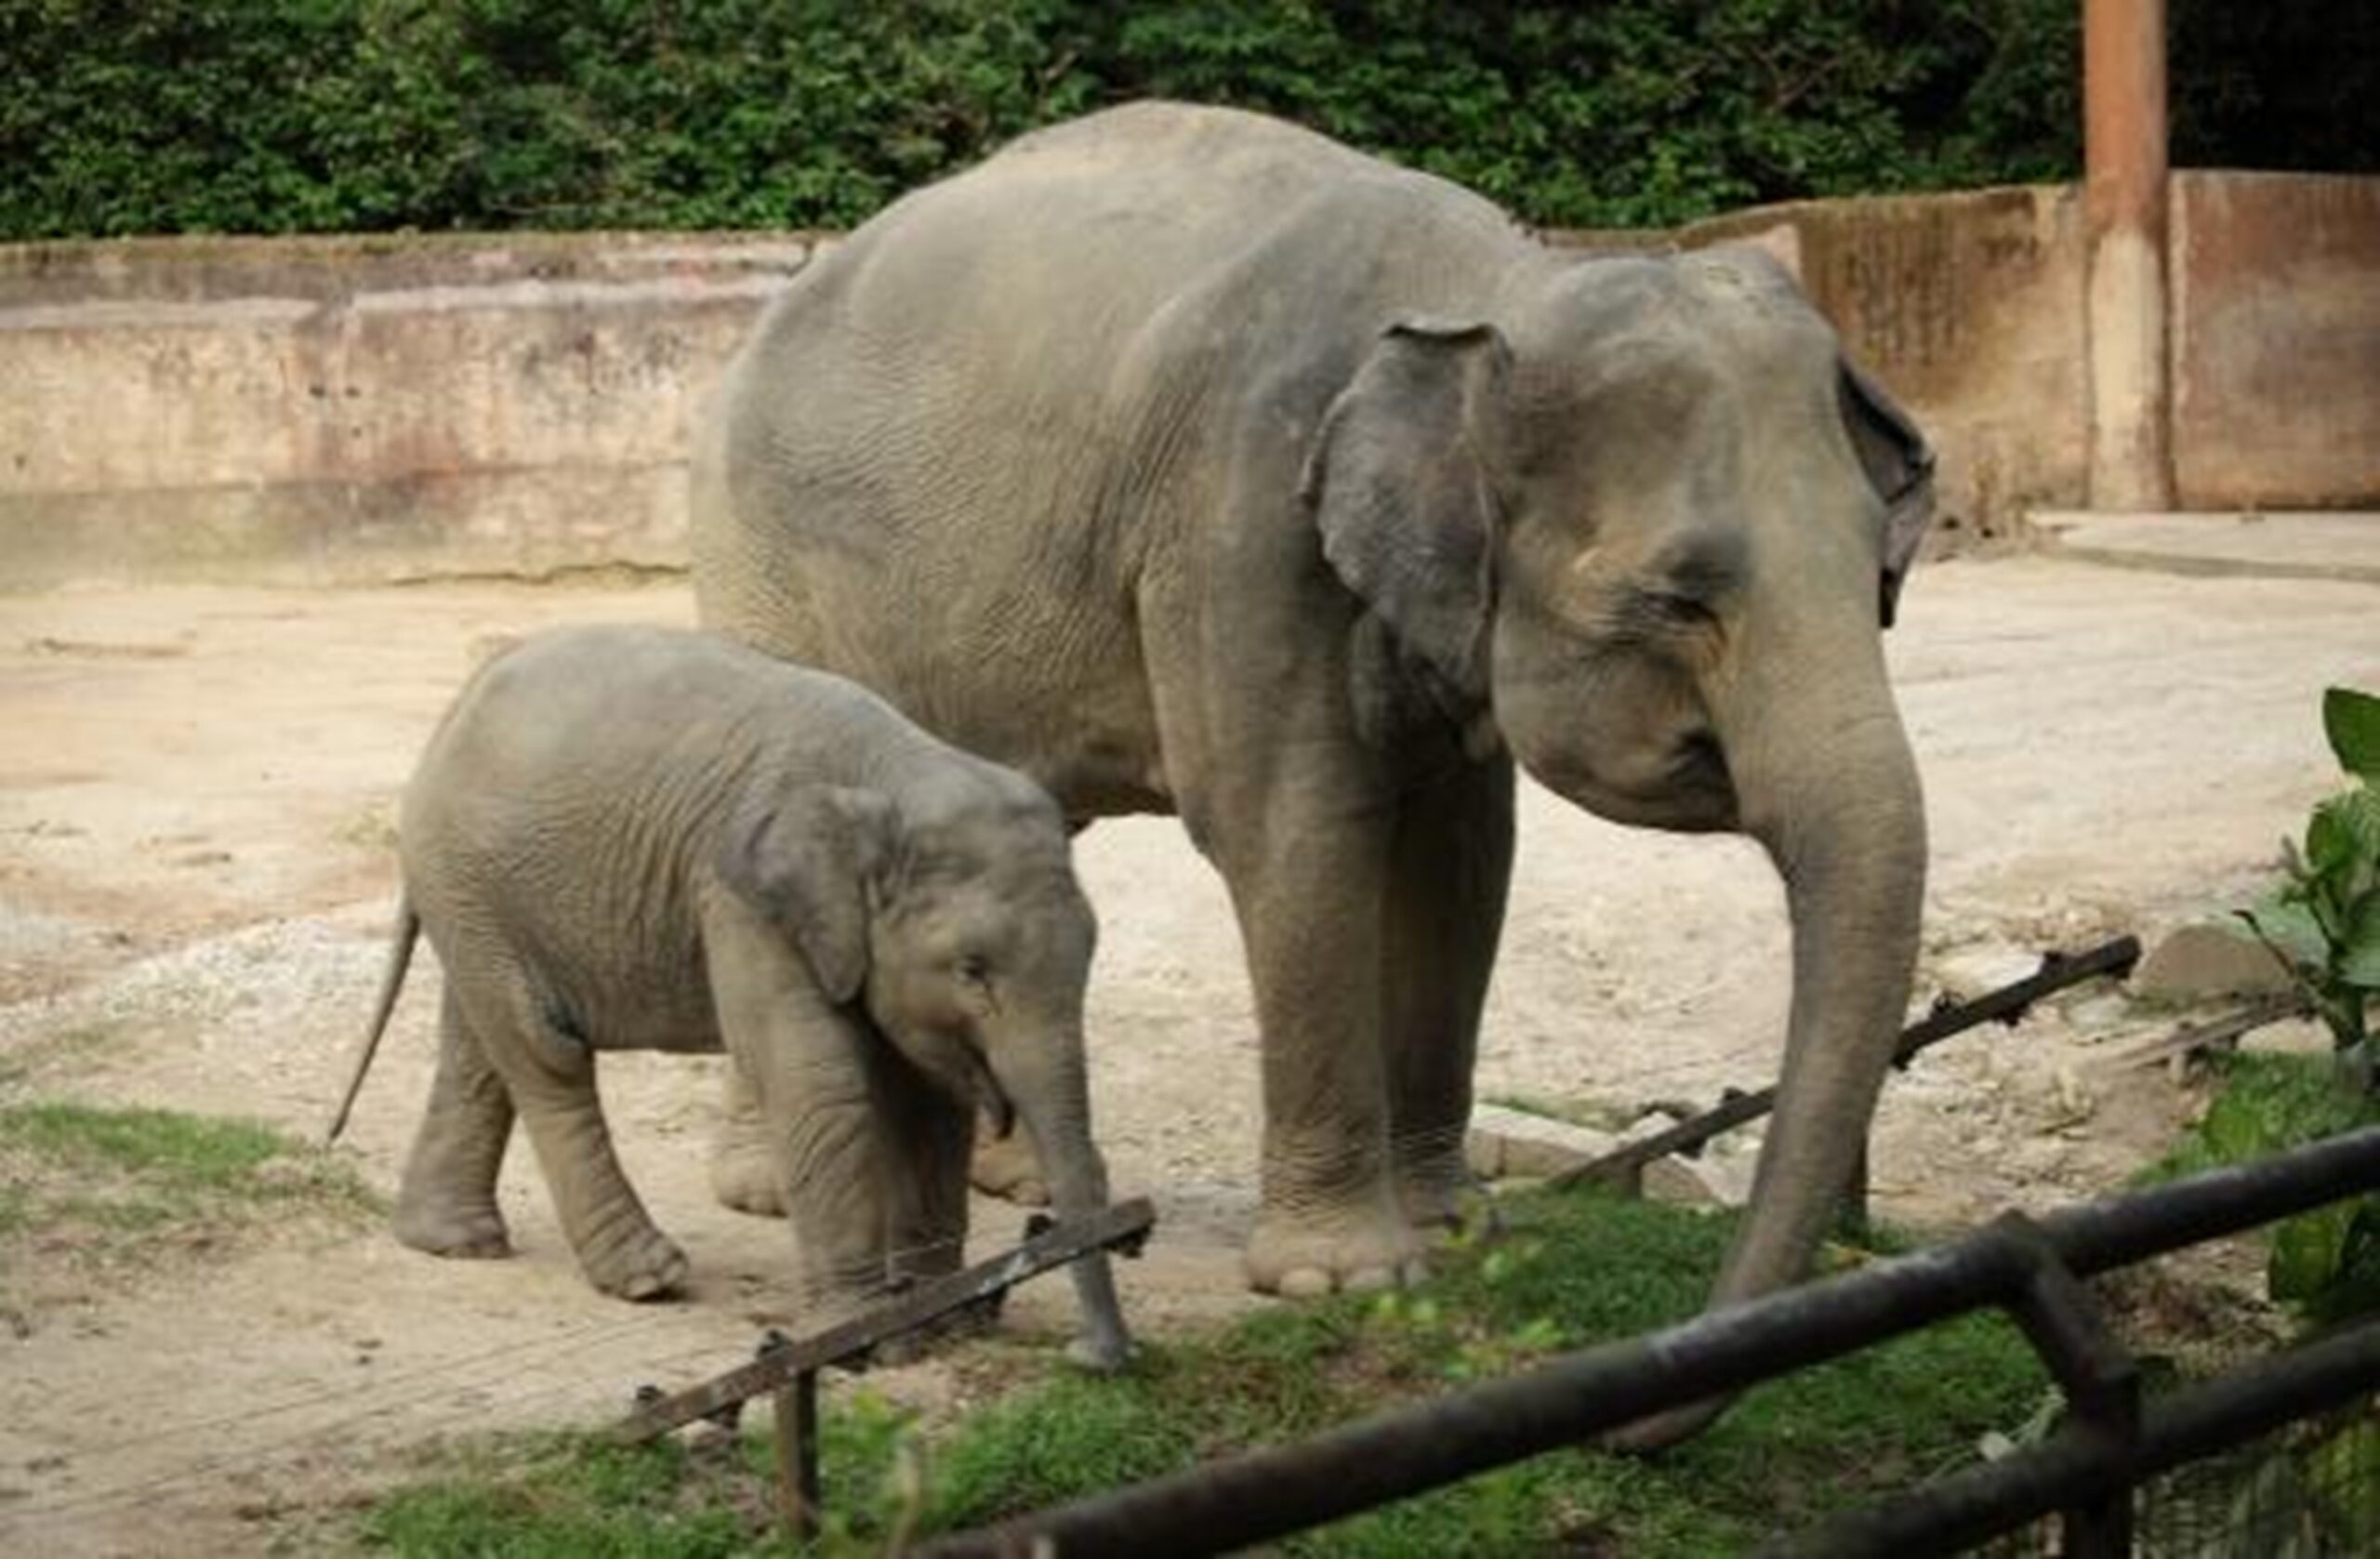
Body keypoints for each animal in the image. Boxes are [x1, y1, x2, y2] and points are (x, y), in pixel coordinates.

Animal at [325, 624, 1133, 1370]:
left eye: (1092, 948)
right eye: (972, 969)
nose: (1093, 1358)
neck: (894, 770)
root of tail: (449, 715)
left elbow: (930, 1101)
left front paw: (935, 1320)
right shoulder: (741, 899)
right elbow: (817, 1080)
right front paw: (862, 1337)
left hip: (478, 892)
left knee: (480, 1045)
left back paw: (454, 1242)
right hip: (466, 873)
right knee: (543, 1049)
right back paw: (647, 1277)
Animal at [691, 103, 1932, 1434]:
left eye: (1882, 572)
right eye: (1677, 600)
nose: (1635, 1418)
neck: (1496, 289)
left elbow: (1459, 861)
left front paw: (1456, 1227)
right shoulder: (1238, 525)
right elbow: (1295, 835)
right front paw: (1343, 1279)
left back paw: (1016, 1181)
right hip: (758, 555)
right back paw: (768, 1190)